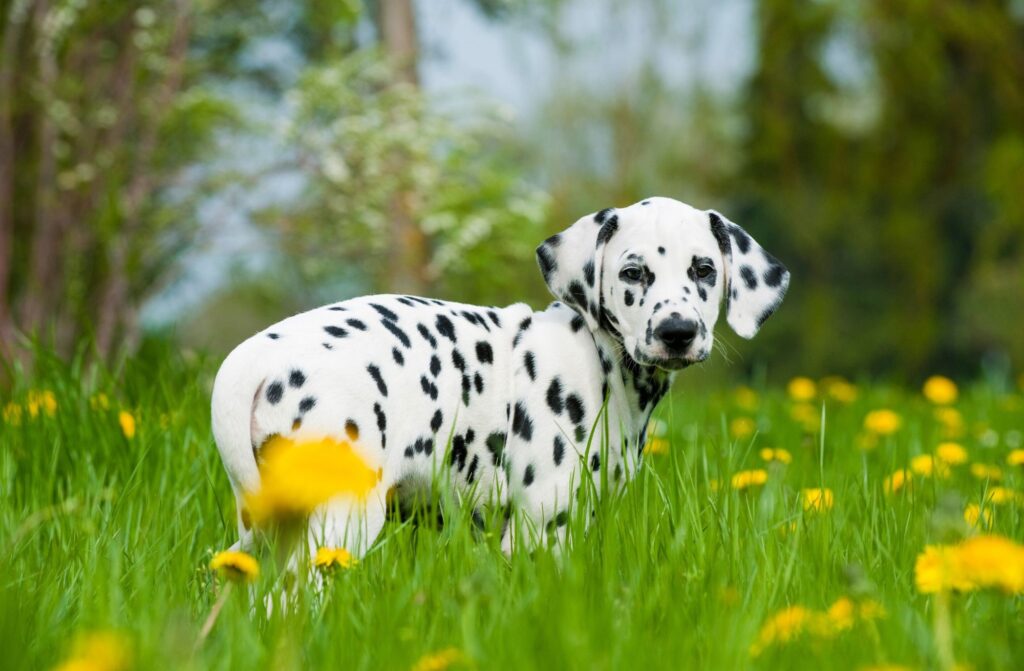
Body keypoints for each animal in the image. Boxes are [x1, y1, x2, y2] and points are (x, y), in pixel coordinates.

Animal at [209, 196, 790, 557]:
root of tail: (254, 356)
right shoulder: (541, 529)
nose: (677, 332)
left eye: (703, 270)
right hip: (342, 519)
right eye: (632, 273)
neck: (599, 358)